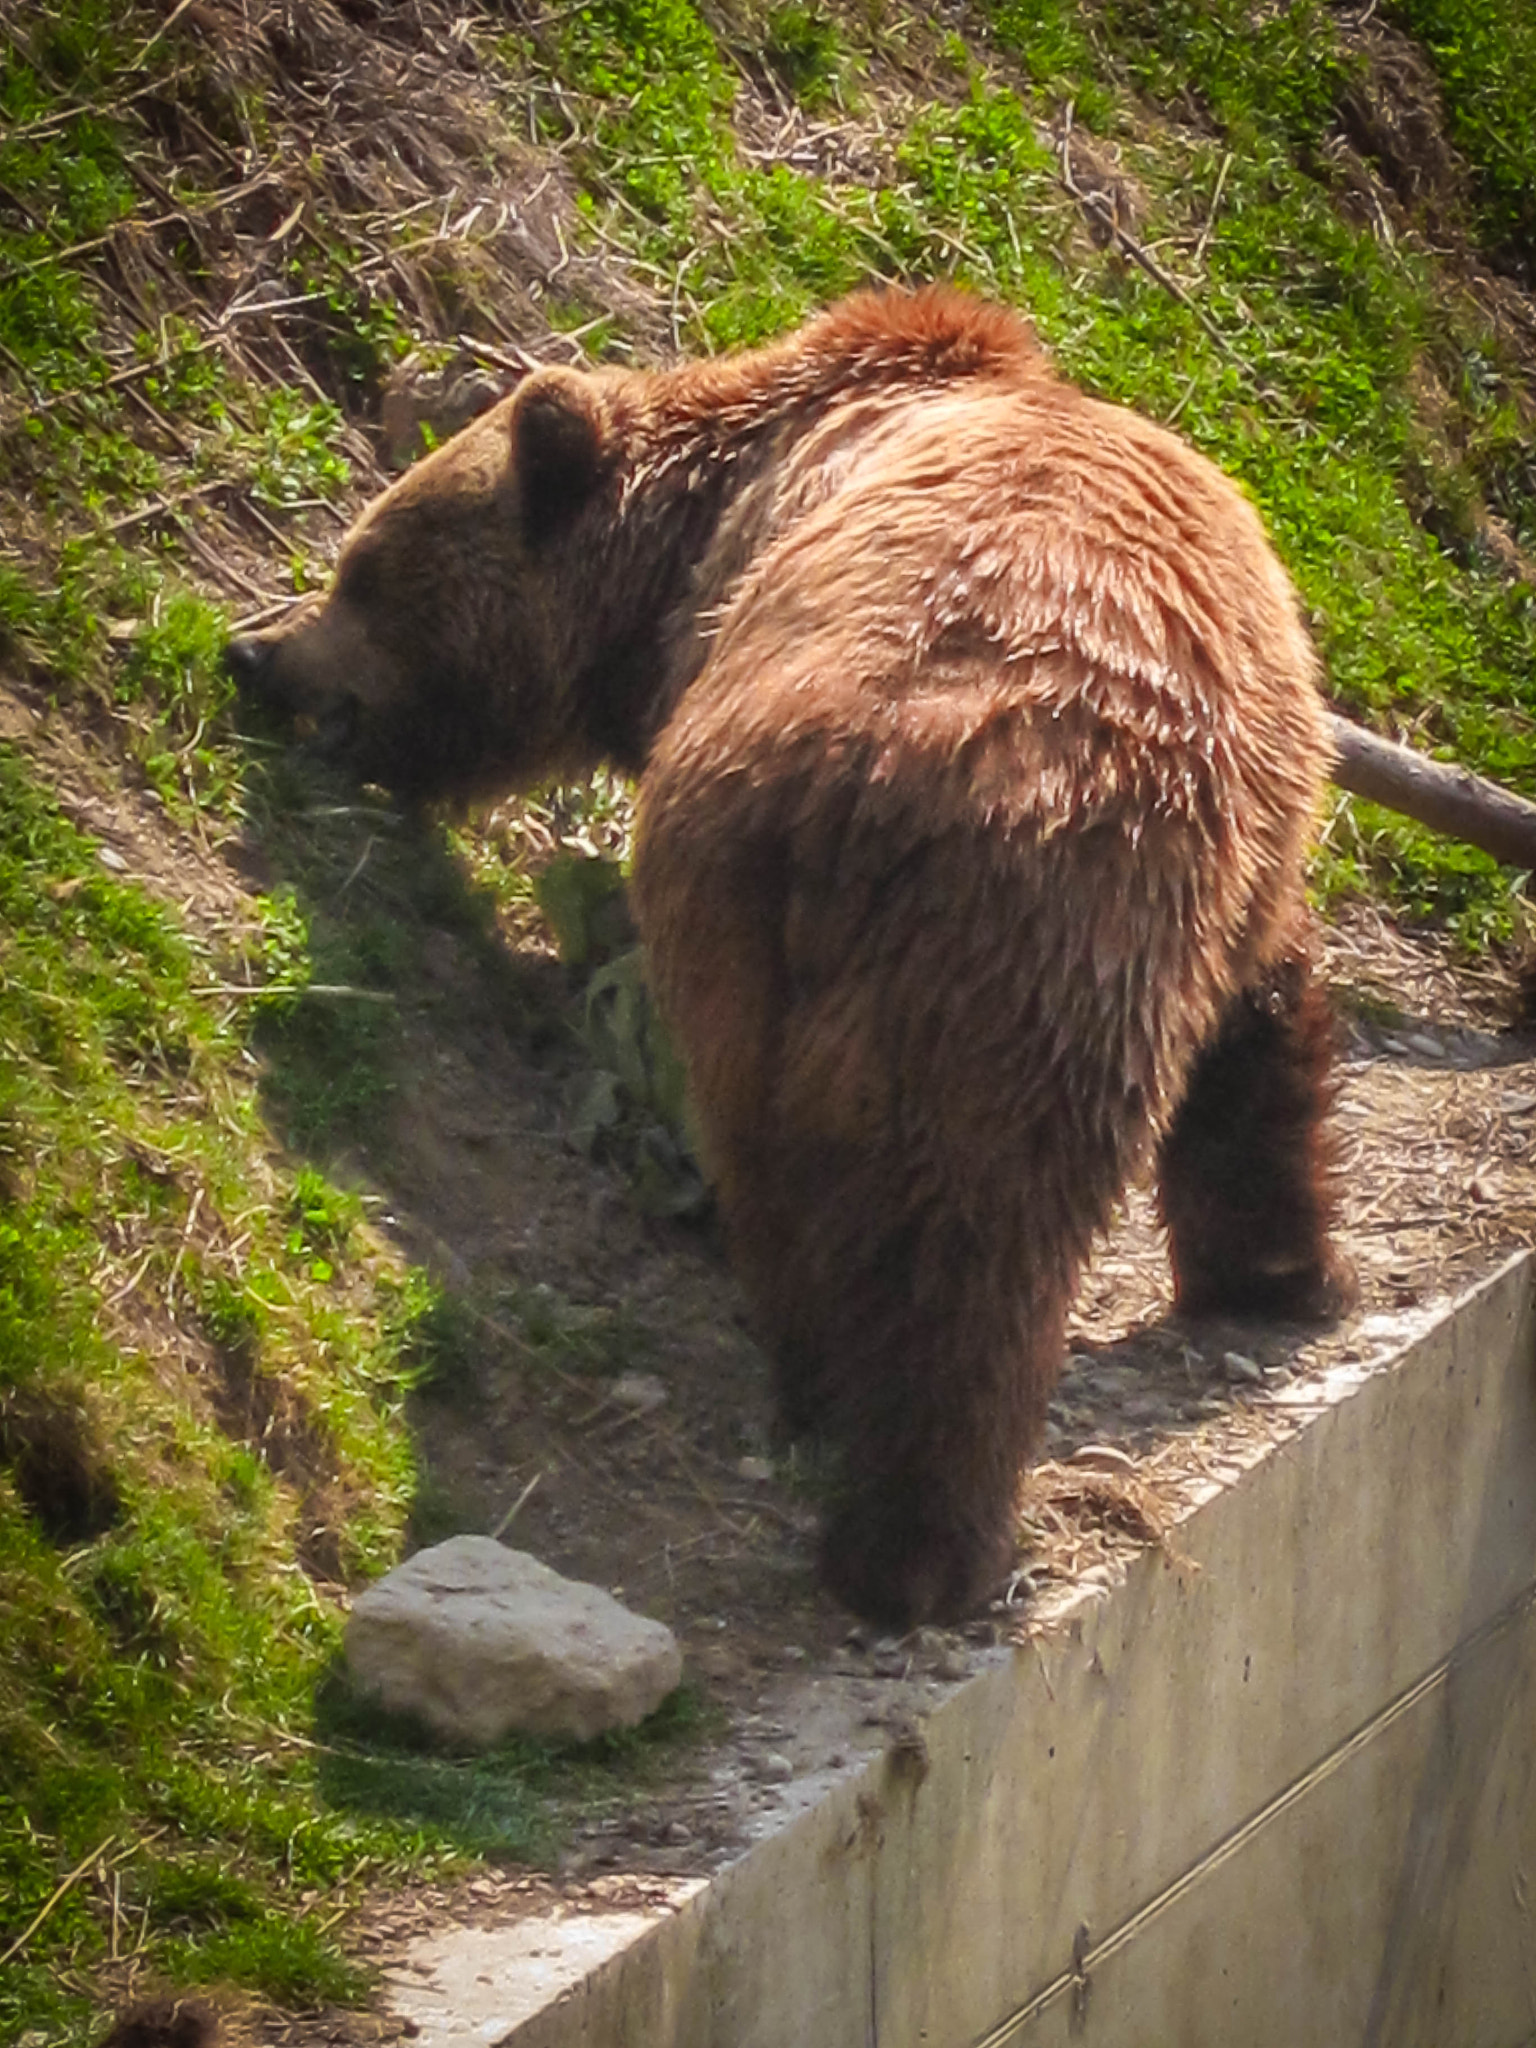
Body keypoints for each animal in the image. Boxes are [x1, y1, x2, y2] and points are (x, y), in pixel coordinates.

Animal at [231, 292, 1359, 1630]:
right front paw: (1276, 1268)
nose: (255, 653)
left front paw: (1276, 1268)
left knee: (821, 1185)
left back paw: (853, 1440)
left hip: (778, 929)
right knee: (964, 1235)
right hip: (984, 944)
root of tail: (868, 780)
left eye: (361, 570)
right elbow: (1258, 1015)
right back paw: (924, 1532)